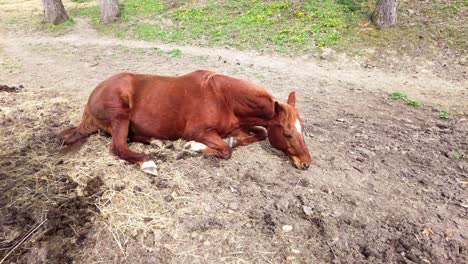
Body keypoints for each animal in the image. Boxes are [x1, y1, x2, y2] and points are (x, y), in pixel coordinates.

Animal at [60, 69, 312, 175]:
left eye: (302, 131)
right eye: (288, 133)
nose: (306, 163)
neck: (224, 98)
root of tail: (92, 97)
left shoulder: (241, 125)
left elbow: (260, 133)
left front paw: (232, 140)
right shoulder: (198, 130)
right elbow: (224, 151)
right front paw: (193, 147)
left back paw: (157, 142)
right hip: (120, 116)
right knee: (118, 147)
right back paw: (148, 163)